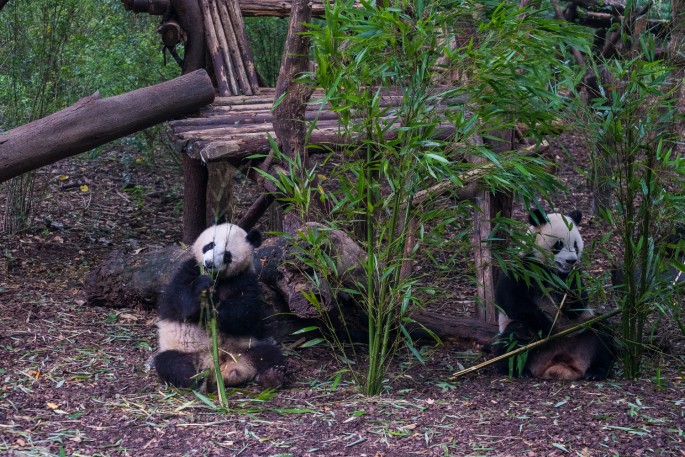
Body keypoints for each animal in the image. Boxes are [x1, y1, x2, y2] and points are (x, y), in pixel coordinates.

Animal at [154, 221, 284, 388]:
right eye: (210, 245)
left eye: (227, 255)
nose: (209, 264)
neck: (218, 279)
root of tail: (218, 366)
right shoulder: (187, 270)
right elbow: (182, 300)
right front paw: (202, 289)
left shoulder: (244, 279)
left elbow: (245, 312)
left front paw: (213, 311)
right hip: (183, 351)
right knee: (171, 364)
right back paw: (197, 380)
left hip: (245, 347)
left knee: (268, 353)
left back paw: (273, 375)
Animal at [492, 208, 616, 380]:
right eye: (558, 244)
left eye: (575, 245)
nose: (571, 261)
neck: (551, 270)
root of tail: (557, 364)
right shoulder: (522, 268)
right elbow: (511, 300)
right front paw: (547, 327)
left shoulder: (572, 276)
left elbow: (579, 302)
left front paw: (569, 302)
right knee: (515, 335)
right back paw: (516, 369)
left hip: (582, 329)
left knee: (601, 333)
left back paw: (596, 371)